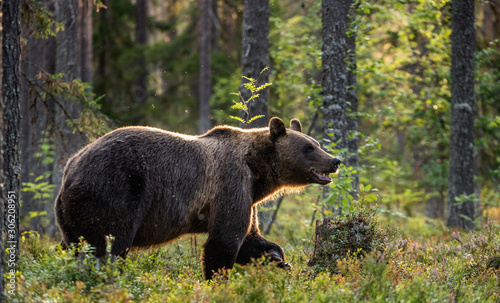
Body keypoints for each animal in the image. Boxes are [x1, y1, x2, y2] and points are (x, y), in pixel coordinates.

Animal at [53, 116, 340, 280]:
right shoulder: (230, 184)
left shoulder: (248, 198)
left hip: (70, 215)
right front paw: (218, 280)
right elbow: (225, 241)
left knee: (76, 246)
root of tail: (70, 170)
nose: (335, 160)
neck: (257, 171)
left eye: (316, 143)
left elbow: (250, 238)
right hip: (114, 191)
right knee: (108, 245)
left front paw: (278, 259)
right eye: (308, 147)